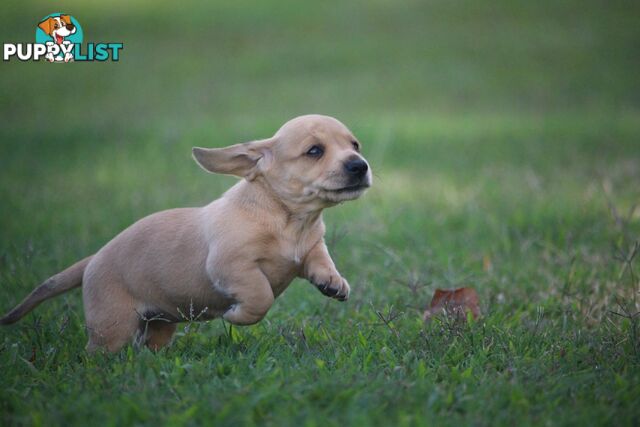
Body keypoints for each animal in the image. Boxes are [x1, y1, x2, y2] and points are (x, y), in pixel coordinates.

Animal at [0, 115, 372, 352]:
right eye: (315, 151)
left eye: (355, 145)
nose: (360, 165)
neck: (289, 221)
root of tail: (93, 259)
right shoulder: (231, 266)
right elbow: (259, 296)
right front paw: (236, 315)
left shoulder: (310, 247)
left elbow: (320, 259)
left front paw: (333, 282)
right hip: (113, 325)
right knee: (99, 353)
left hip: (160, 323)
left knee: (149, 345)